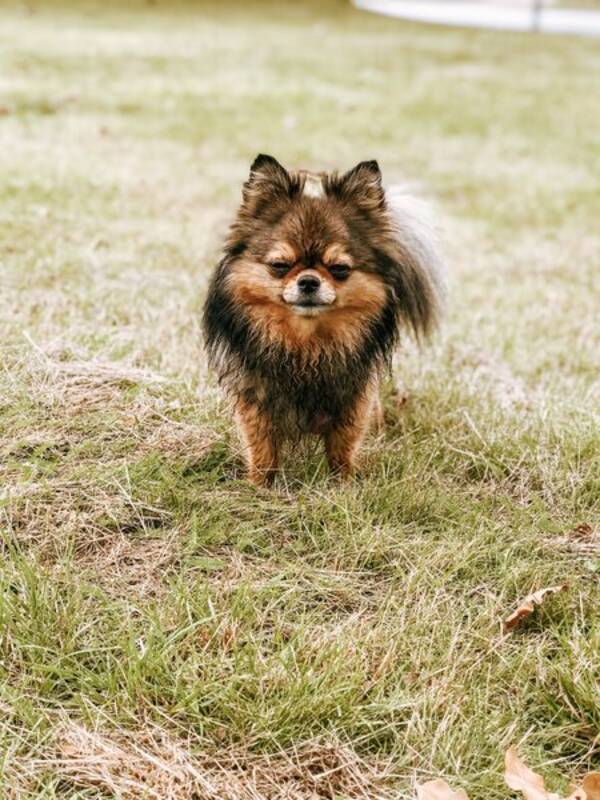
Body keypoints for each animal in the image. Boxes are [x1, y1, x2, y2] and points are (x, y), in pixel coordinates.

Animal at [204, 153, 442, 484]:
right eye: (280, 265)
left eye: (339, 269)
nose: (308, 281)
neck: (305, 344)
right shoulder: (255, 397)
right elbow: (262, 447)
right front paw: (261, 485)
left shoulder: (354, 397)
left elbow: (343, 444)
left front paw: (343, 482)